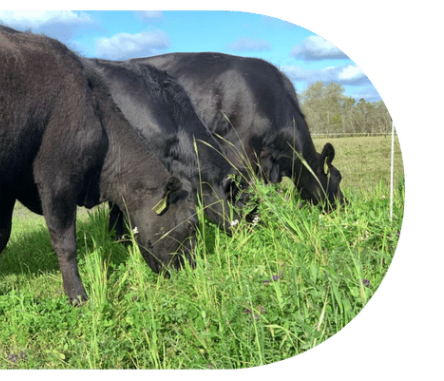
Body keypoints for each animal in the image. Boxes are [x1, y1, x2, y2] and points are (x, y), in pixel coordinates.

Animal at [0, 26, 198, 302]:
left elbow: (2, 236)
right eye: (191, 225)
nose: (192, 268)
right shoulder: (57, 179)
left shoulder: (8, 187)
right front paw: (77, 294)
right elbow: (65, 242)